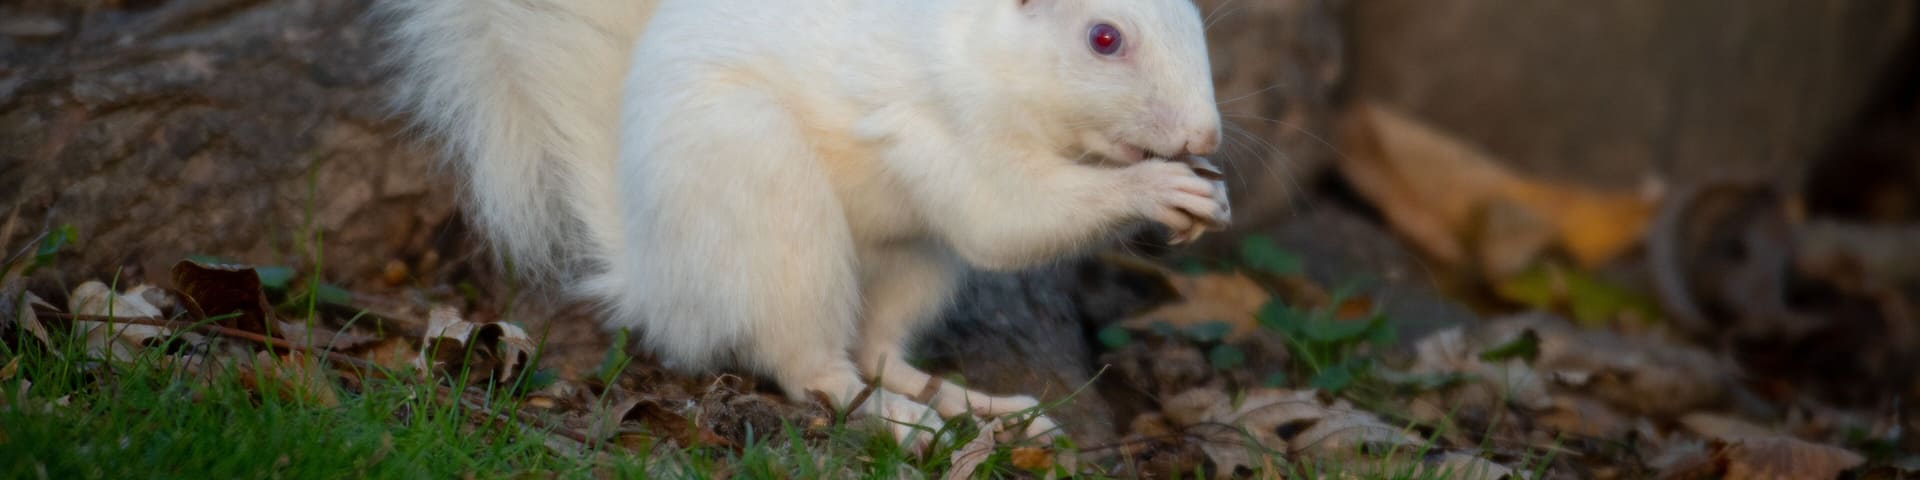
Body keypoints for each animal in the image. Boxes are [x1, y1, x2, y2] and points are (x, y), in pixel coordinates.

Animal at [379, 0, 1228, 446]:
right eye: (1104, 38)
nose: (1207, 135)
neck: (979, 53)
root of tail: (657, 284)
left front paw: (1205, 198)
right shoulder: (937, 125)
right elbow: (1002, 219)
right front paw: (1159, 188)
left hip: (911, 262)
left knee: (880, 350)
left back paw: (975, 406)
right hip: (774, 212)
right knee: (818, 371)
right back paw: (906, 422)